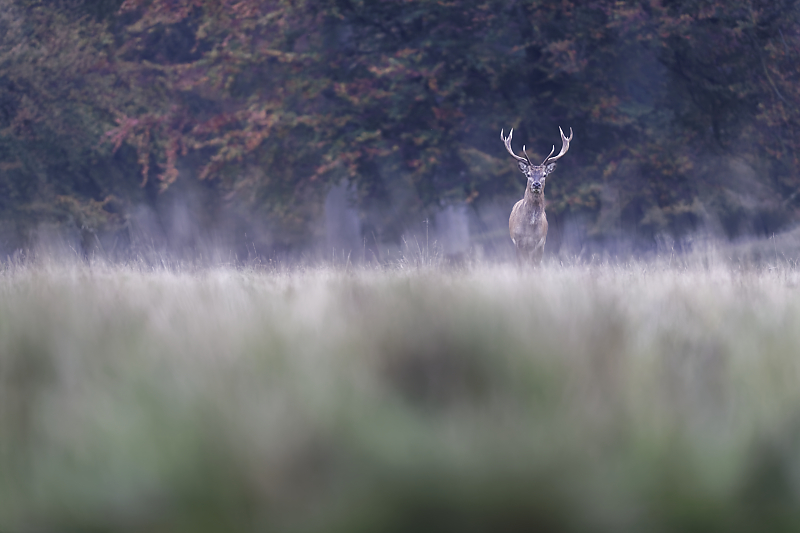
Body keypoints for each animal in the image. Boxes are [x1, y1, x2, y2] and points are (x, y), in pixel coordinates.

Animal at [504, 125, 572, 266]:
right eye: (528, 174)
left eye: (544, 175)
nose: (536, 184)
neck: (529, 228)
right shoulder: (518, 241)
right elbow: (520, 266)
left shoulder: (539, 242)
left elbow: (534, 265)